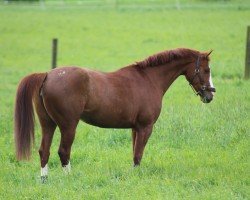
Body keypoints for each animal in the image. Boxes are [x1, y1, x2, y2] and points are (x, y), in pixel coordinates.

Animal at [14, 47, 215, 180]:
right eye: (206, 70)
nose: (210, 95)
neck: (148, 79)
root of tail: (47, 75)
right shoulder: (145, 127)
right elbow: (138, 154)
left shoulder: (135, 128)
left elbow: (134, 152)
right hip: (68, 125)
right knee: (63, 151)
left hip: (48, 124)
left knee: (44, 151)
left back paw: (44, 179)